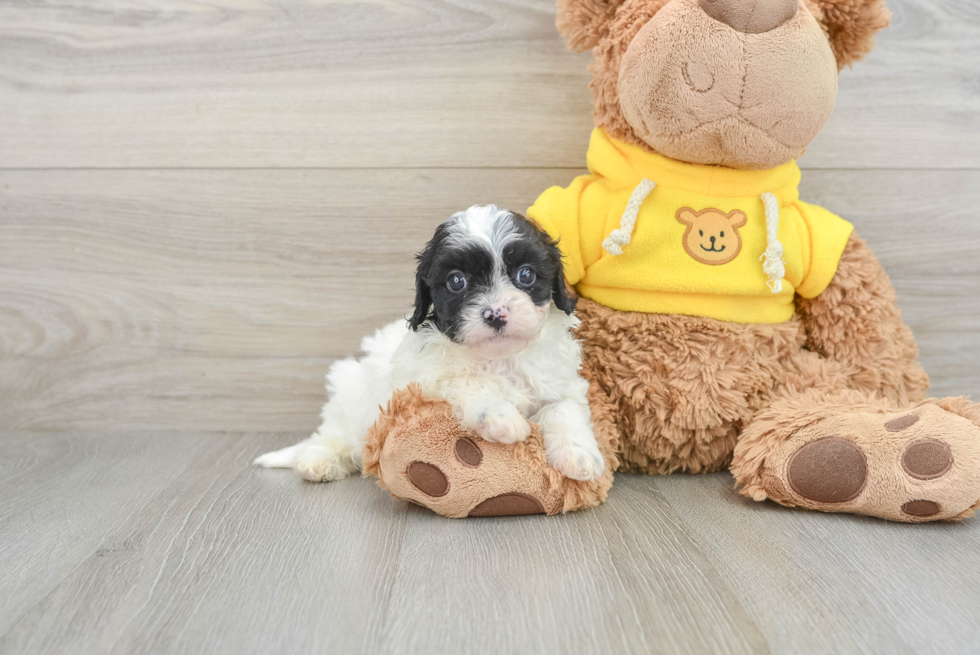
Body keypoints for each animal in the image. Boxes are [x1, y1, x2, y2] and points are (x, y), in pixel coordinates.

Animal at [255, 208, 604, 484]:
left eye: (526, 274)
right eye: (456, 281)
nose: (495, 313)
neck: (499, 358)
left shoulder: (563, 382)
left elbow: (563, 408)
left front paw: (580, 456)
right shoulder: (426, 381)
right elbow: (470, 382)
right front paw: (501, 418)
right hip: (351, 394)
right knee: (332, 435)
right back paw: (318, 461)